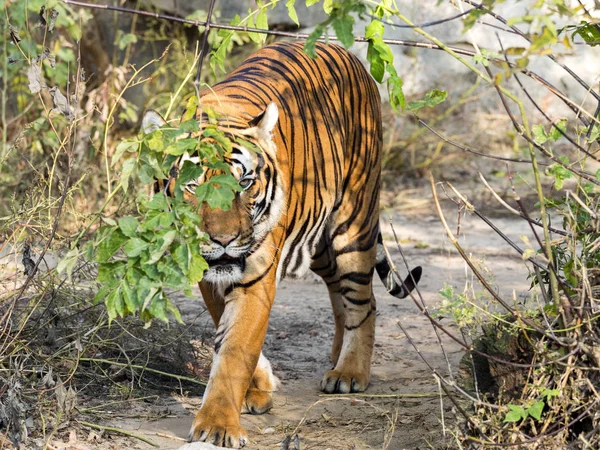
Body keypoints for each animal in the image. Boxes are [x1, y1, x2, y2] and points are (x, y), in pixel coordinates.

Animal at [142, 41, 422, 446]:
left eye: (243, 183)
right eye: (192, 186)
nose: (223, 240)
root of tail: (347, 52)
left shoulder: (255, 277)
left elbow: (237, 347)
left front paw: (217, 425)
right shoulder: (209, 272)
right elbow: (225, 331)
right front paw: (257, 389)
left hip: (352, 223)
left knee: (362, 299)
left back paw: (350, 372)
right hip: (319, 242)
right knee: (339, 294)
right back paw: (336, 357)